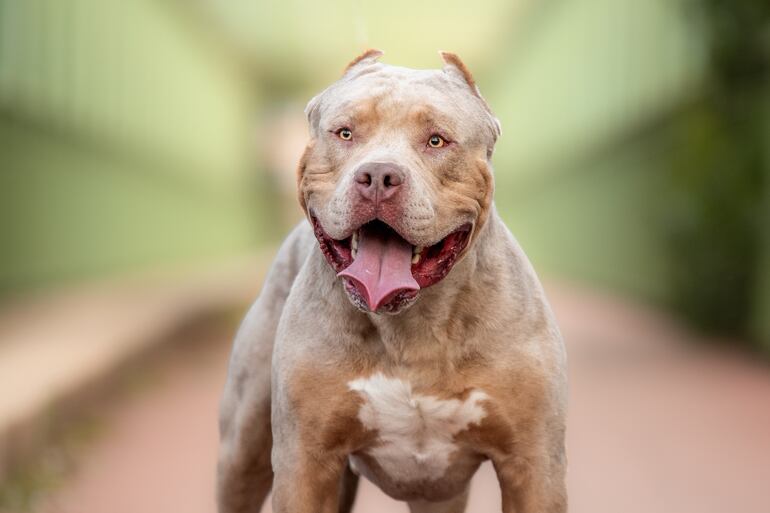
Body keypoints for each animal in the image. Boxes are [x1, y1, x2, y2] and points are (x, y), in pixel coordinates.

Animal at [216, 49, 564, 512]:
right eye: (345, 132)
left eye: (437, 140)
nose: (379, 176)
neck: (414, 328)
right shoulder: (304, 464)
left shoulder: (534, 465)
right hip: (242, 449)